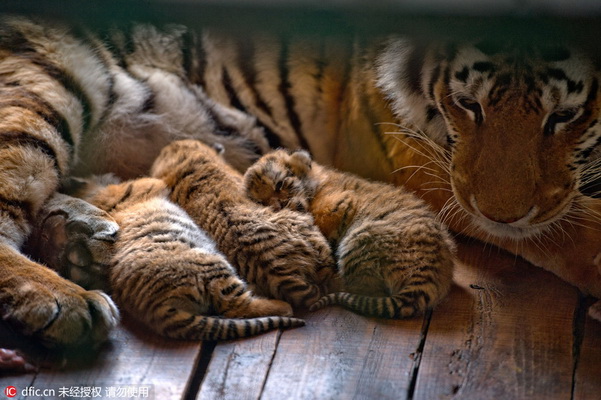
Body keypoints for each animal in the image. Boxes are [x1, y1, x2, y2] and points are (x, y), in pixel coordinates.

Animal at [0, 14, 596, 356]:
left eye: (565, 115)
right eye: (469, 105)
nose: (500, 214)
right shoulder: (426, 162)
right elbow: (574, 232)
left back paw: (78, 238)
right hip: (46, 82)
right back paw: (66, 299)